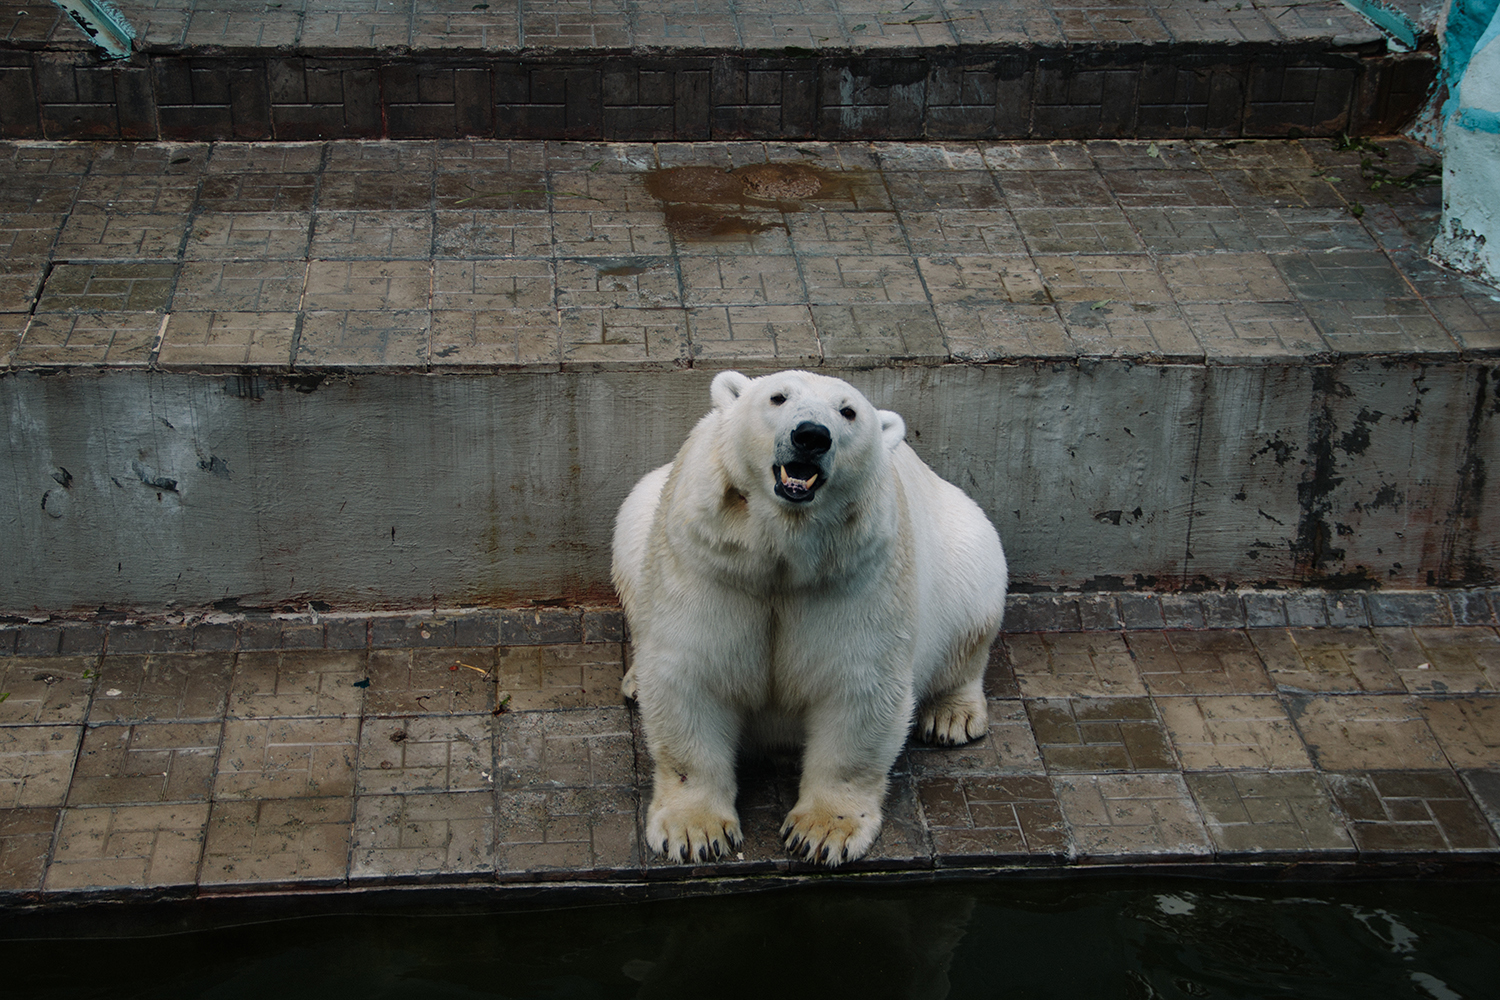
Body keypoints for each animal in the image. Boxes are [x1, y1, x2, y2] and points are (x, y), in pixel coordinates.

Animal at [609, 370, 1008, 869]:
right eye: (778, 397)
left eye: (848, 411)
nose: (811, 436)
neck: (781, 552)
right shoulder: (711, 564)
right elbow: (692, 673)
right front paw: (695, 831)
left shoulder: (855, 578)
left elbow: (858, 688)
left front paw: (822, 831)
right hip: (641, 519)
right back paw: (635, 681)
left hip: (964, 547)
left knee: (973, 607)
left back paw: (951, 715)